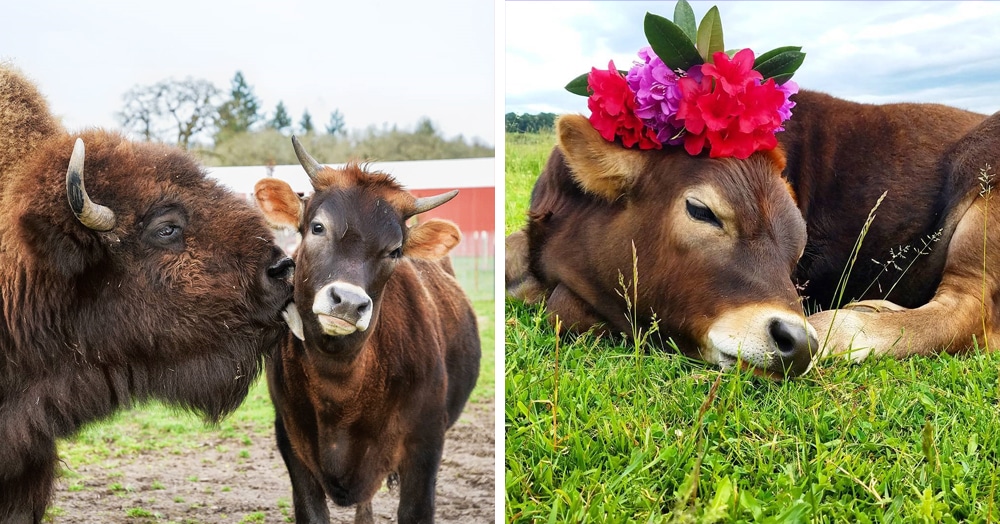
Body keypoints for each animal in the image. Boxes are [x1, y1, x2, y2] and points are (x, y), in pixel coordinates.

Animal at [254, 138, 480, 524]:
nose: (347, 301)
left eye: (395, 250)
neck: (340, 390)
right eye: (317, 227)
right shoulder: (290, 441)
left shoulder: (426, 445)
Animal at [508, 89, 1000, 376]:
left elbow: (565, 308)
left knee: (968, 310)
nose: (798, 343)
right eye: (700, 210)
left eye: (798, 247)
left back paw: (839, 327)